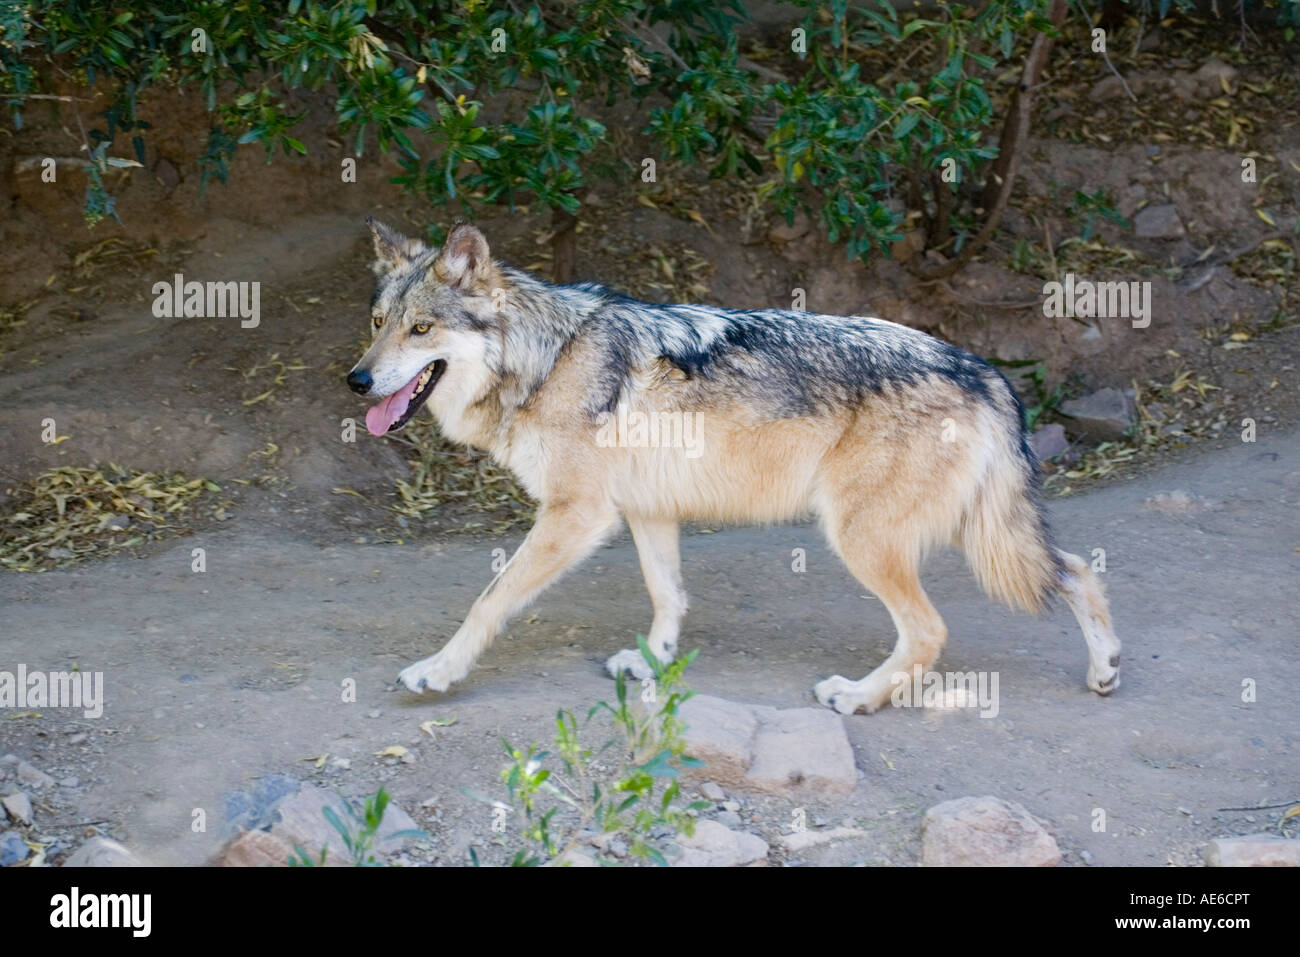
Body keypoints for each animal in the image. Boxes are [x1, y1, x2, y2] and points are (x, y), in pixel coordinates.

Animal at [346, 219, 1120, 714]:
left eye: (421, 329)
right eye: (378, 323)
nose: (356, 380)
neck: (546, 359)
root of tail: (985, 370)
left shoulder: (575, 515)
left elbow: (489, 599)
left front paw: (439, 671)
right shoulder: (645, 510)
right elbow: (668, 596)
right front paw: (654, 662)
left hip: (866, 537)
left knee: (930, 631)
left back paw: (857, 697)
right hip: (968, 530)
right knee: (1077, 568)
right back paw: (1106, 668)